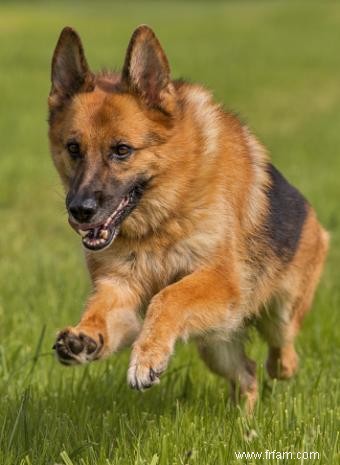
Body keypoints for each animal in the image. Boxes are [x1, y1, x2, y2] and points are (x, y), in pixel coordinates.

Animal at [49, 24, 328, 410]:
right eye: (73, 148)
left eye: (122, 150)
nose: (80, 210)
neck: (162, 217)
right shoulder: (119, 289)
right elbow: (102, 312)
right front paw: (85, 337)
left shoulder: (220, 281)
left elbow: (168, 297)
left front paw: (146, 359)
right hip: (216, 342)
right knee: (247, 373)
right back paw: (245, 420)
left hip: (279, 314)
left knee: (282, 353)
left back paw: (278, 370)